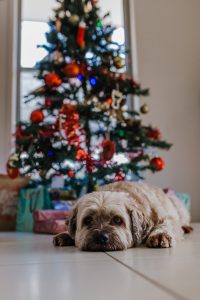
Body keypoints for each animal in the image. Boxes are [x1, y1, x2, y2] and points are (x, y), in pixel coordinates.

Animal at [52, 180, 192, 251]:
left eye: (117, 220)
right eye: (88, 220)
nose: (101, 237)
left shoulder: (167, 217)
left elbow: (166, 224)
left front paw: (160, 235)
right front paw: (66, 235)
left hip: (177, 204)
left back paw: (187, 227)